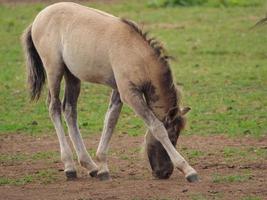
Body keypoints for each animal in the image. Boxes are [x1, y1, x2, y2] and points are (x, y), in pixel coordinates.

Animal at [21, 1, 199, 183]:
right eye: (172, 137)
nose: (164, 173)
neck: (137, 54)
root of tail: (37, 19)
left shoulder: (118, 92)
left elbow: (110, 121)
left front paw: (103, 168)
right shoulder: (129, 94)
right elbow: (156, 127)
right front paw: (188, 170)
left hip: (72, 76)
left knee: (70, 111)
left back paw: (90, 166)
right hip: (54, 70)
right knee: (54, 107)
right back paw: (69, 167)